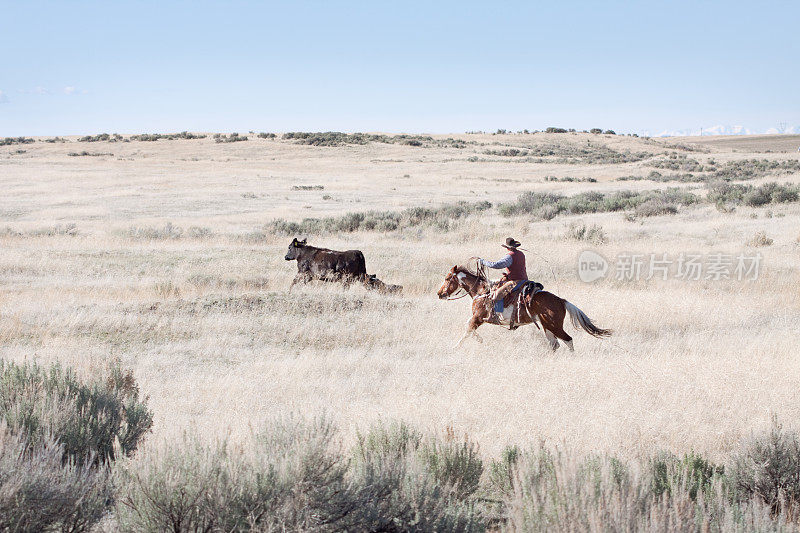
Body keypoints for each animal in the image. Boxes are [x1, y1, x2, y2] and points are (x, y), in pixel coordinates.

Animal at [434, 262, 608, 350]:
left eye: (447, 278)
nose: (439, 293)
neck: (481, 291)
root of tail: (561, 300)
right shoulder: (477, 319)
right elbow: (468, 329)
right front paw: (480, 339)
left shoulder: (478, 318)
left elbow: (467, 331)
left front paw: (456, 348)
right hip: (547, 326)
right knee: (555, 344)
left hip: (555, 326)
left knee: (568, 340)